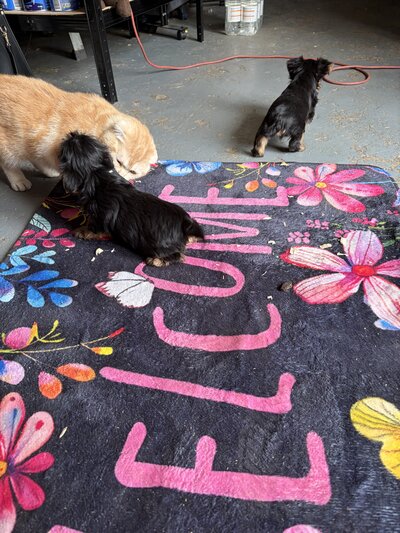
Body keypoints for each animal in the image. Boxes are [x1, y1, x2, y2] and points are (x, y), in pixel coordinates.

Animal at [0, 75, 158, 191]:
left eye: (133, 172)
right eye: (118, 161)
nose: (121, 176)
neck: (99, 126)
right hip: (8, 147)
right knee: (8, 164)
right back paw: (19, 181)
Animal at [59, 132, 204, 267]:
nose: (72, 134)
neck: (98, 174)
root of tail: (186, 224)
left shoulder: (99, 218)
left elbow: (93, 229)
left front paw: (81, 231)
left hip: (160, 246)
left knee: (177, 255)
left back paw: (156, 260)